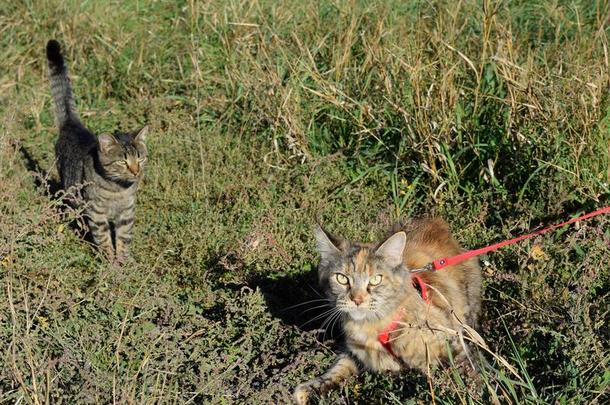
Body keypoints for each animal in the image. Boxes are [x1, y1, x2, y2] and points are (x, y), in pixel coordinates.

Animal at [45, 39, 148, 264]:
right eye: (122, 162)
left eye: (141, 159)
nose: (136, 172)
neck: (118, 190)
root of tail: (72, 124)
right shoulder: (96, 213)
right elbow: (104, 239)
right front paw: (110, 263)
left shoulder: (127, 214)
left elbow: (124, 239)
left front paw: (124, 261)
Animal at [294, 219, 480, 402]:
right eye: (342, 278)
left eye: (375, 280)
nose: (357, 300)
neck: (374, 326)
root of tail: (435, 222)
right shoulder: (355, 354)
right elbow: (337, 369)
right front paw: (308, 390)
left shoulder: (453, 346)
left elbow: (473, 374)